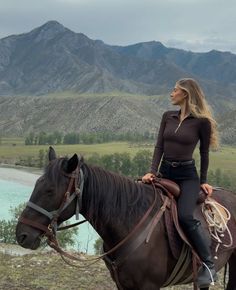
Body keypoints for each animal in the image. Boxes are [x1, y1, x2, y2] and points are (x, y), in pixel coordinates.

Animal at [16, 148, 236, 288]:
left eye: (50, 191)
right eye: (36, 184)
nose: (22, 235)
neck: (132, 224)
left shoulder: (148, 286)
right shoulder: (122, 283)